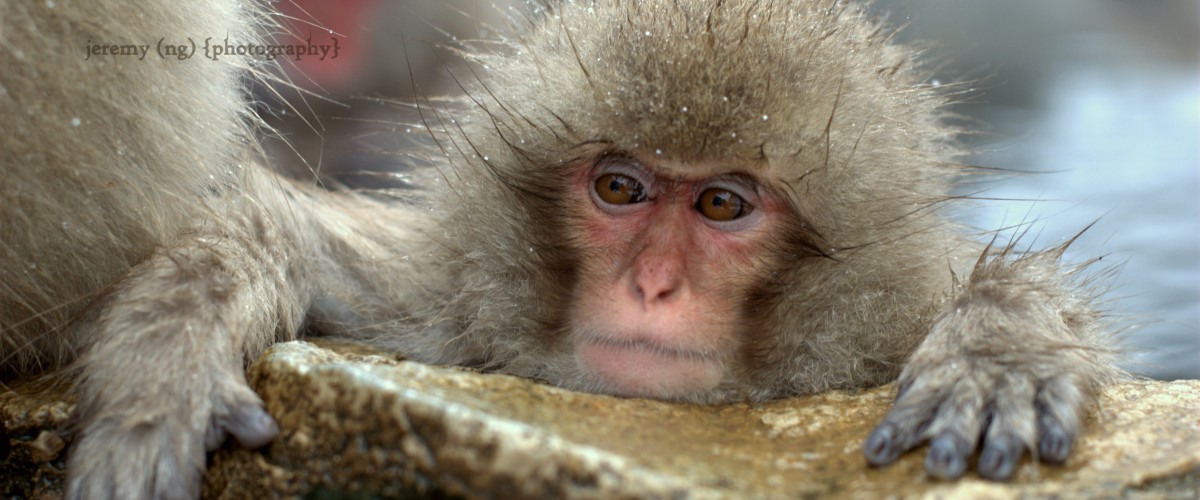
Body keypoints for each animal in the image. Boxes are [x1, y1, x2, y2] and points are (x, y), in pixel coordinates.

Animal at [0, 0, 1124, 497]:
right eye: (619, 187)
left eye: (723, 203)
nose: (652, 283)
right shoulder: (442, 305)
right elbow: (297, 236)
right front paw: (169, 365)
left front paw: (998, 347)